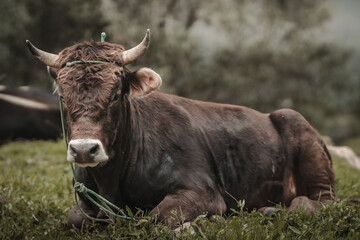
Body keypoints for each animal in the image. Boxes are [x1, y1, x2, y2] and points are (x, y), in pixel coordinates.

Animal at [26, 30, 336, 229]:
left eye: (115, 94)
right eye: (62, 95)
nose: (84, 150)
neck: (112, 183)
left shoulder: (202, 191)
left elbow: (158, 217)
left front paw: (207, 220)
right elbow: (75, 219)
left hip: (301, 135)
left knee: (320, 201)